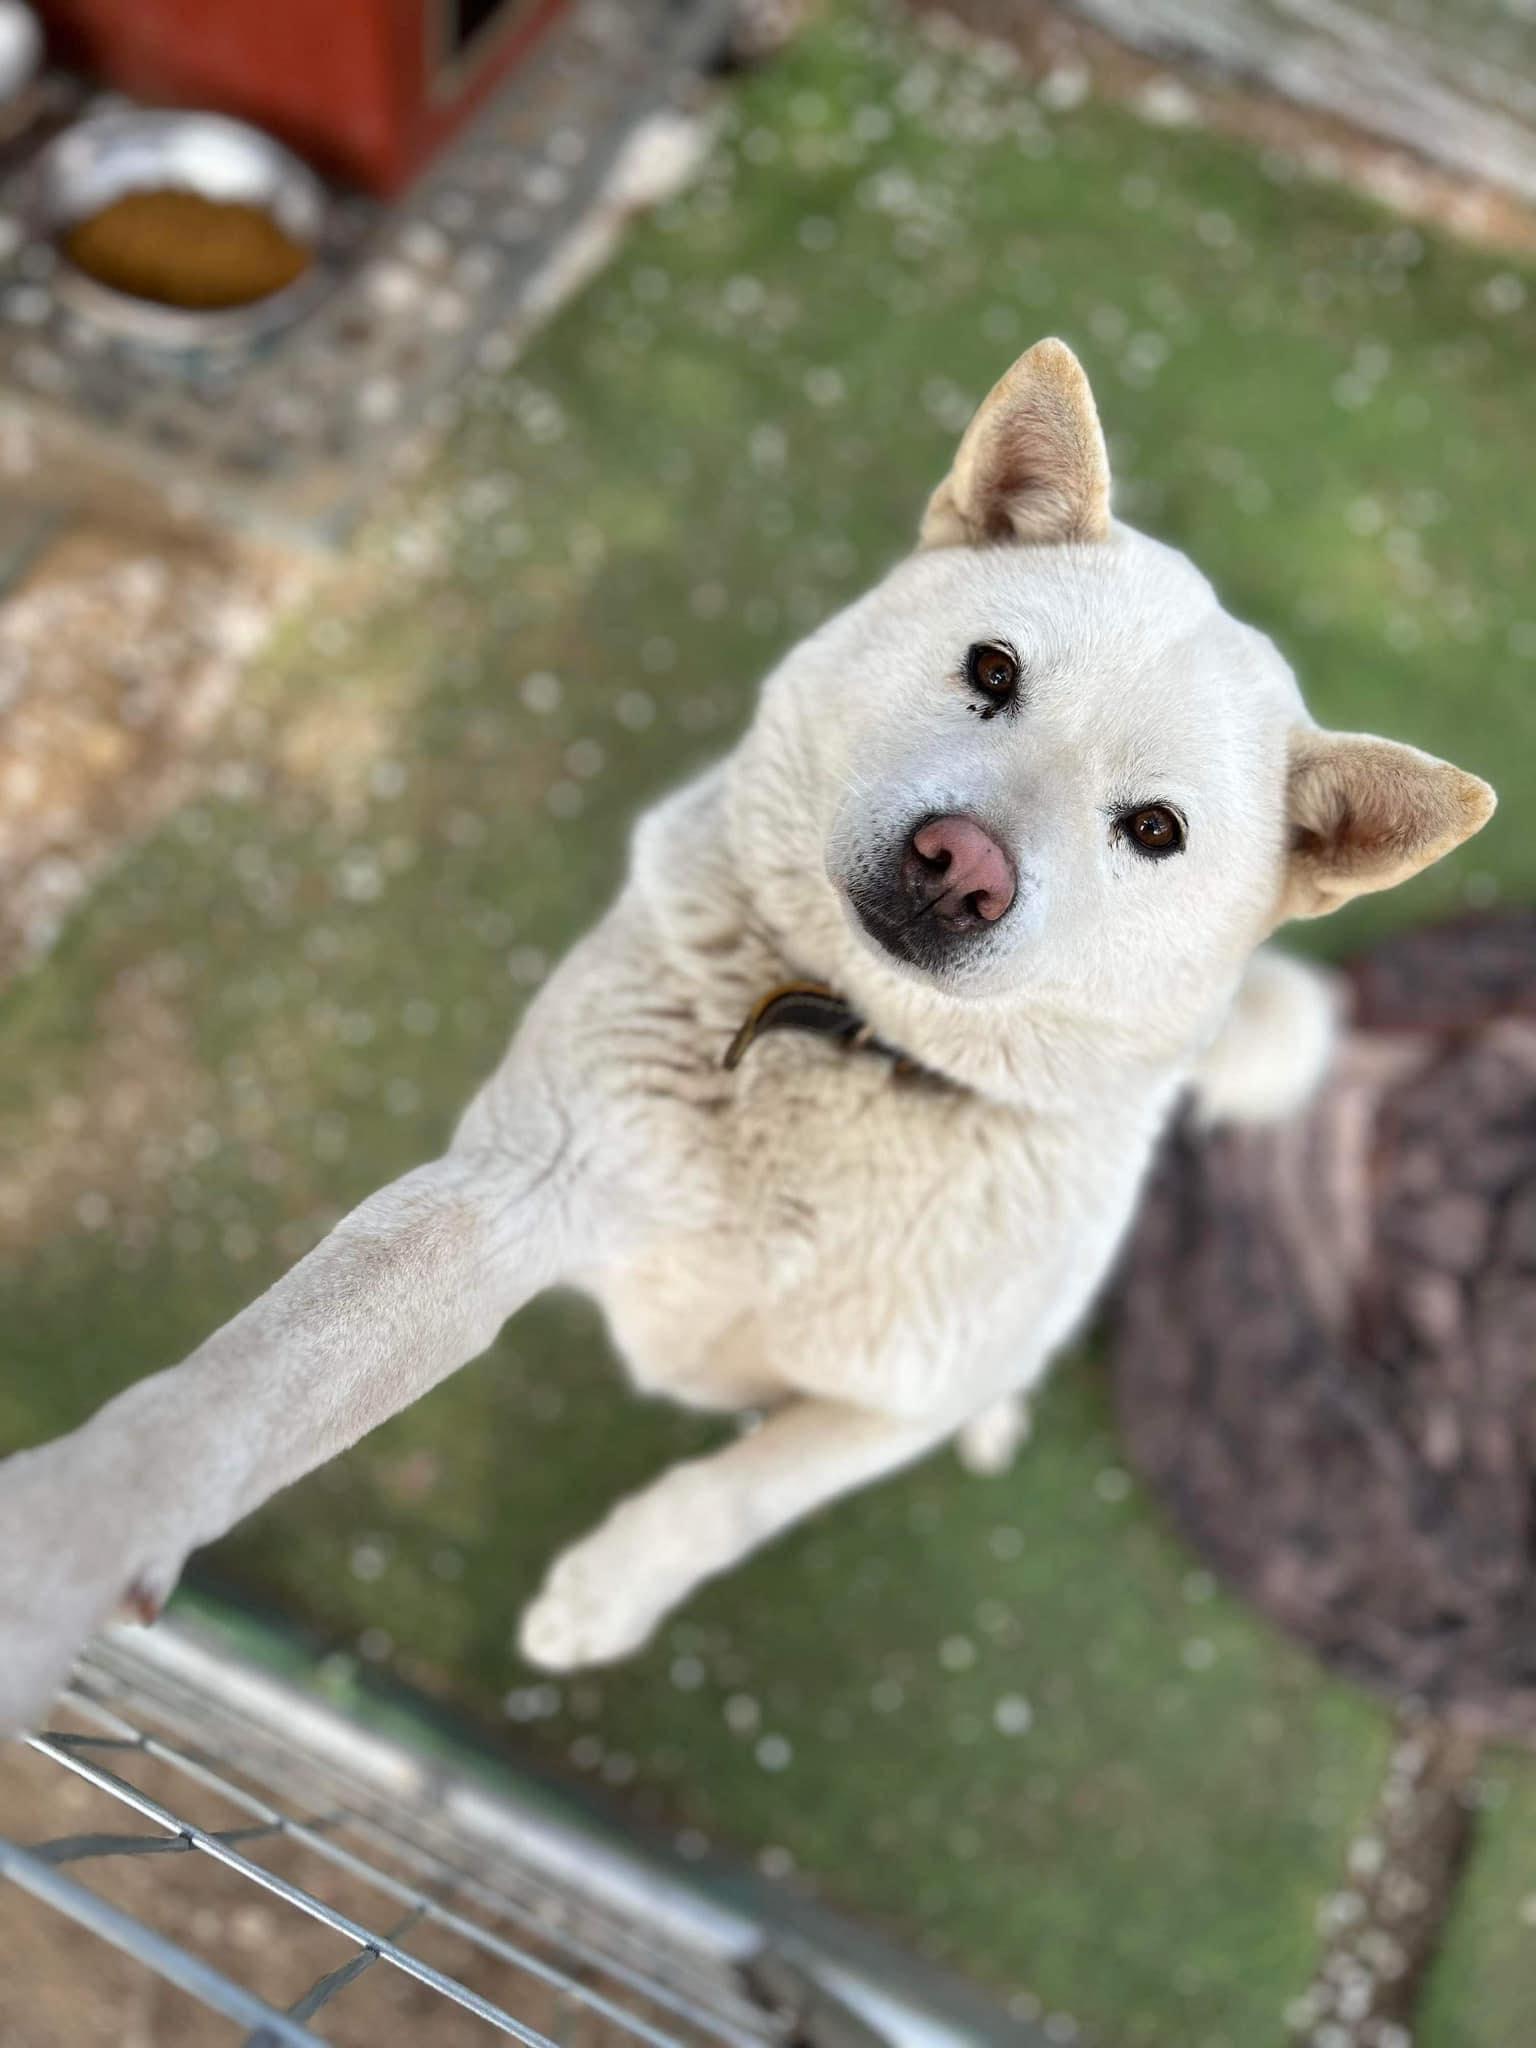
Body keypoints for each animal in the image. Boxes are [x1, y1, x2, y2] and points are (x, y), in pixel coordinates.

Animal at [0, 339, 1494, 1730]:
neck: (848, 1052)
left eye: (1156, 830)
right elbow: (242, 1386)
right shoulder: (510, 1194)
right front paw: (68, 1534)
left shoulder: (884, 1407)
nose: (963, 866)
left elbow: (738, 1493)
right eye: (992, 668)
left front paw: (611, 1587)